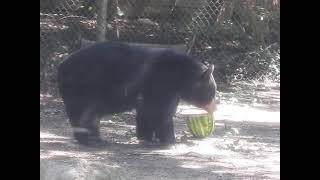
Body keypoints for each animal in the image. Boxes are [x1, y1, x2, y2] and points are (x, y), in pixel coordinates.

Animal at [57, 41, 218, 147]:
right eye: (212, 93)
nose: (214, 108)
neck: (181, 77)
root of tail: (61, 66)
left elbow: (146, 111)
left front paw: (146, 137)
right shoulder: (162, 81)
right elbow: (160, 112)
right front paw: (170, 139)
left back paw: (96, 138)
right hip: (85, 86)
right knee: (84, 114)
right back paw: (91, 140)